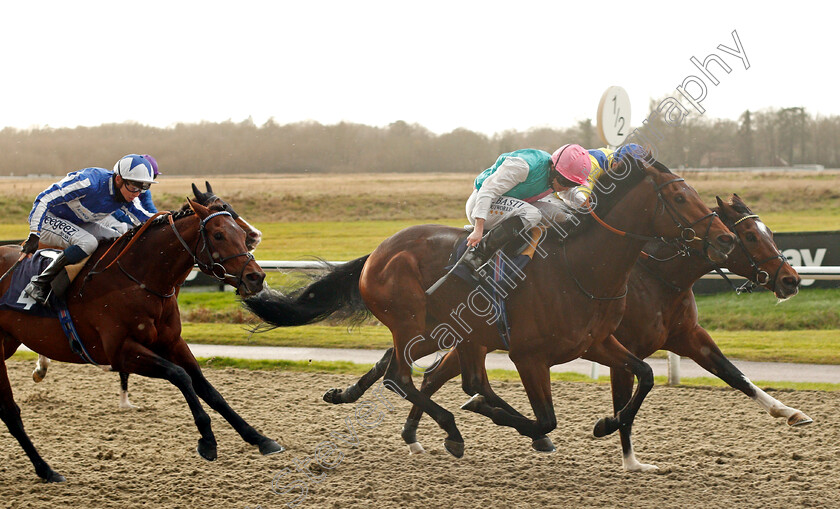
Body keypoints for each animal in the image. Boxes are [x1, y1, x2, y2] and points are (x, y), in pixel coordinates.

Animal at [244, 154, 736, 456]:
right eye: (678, 197)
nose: (726, 239)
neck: (583, 269)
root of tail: (379, 252)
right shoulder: (529, 355)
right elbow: (546, 419)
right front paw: (505, 420)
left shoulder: (595, 343)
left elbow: (646, 374)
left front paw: (605, 424)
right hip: (411, 322)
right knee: (402, 376)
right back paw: (454, 427)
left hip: (445, 331)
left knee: (436, 375)